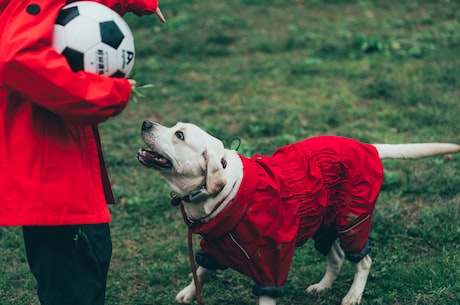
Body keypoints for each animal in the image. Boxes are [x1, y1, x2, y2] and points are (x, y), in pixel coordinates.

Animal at [137, 120, 460, 304]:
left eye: (179, 135)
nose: (145, 122)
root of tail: (367, 146)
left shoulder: (271, 265)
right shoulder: (215, 246)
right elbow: (201, 271)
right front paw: (188, 293)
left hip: (352, 223)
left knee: (364, 260)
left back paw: (352, 296)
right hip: (323, 224)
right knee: (337, 258)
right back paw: (322, 286)